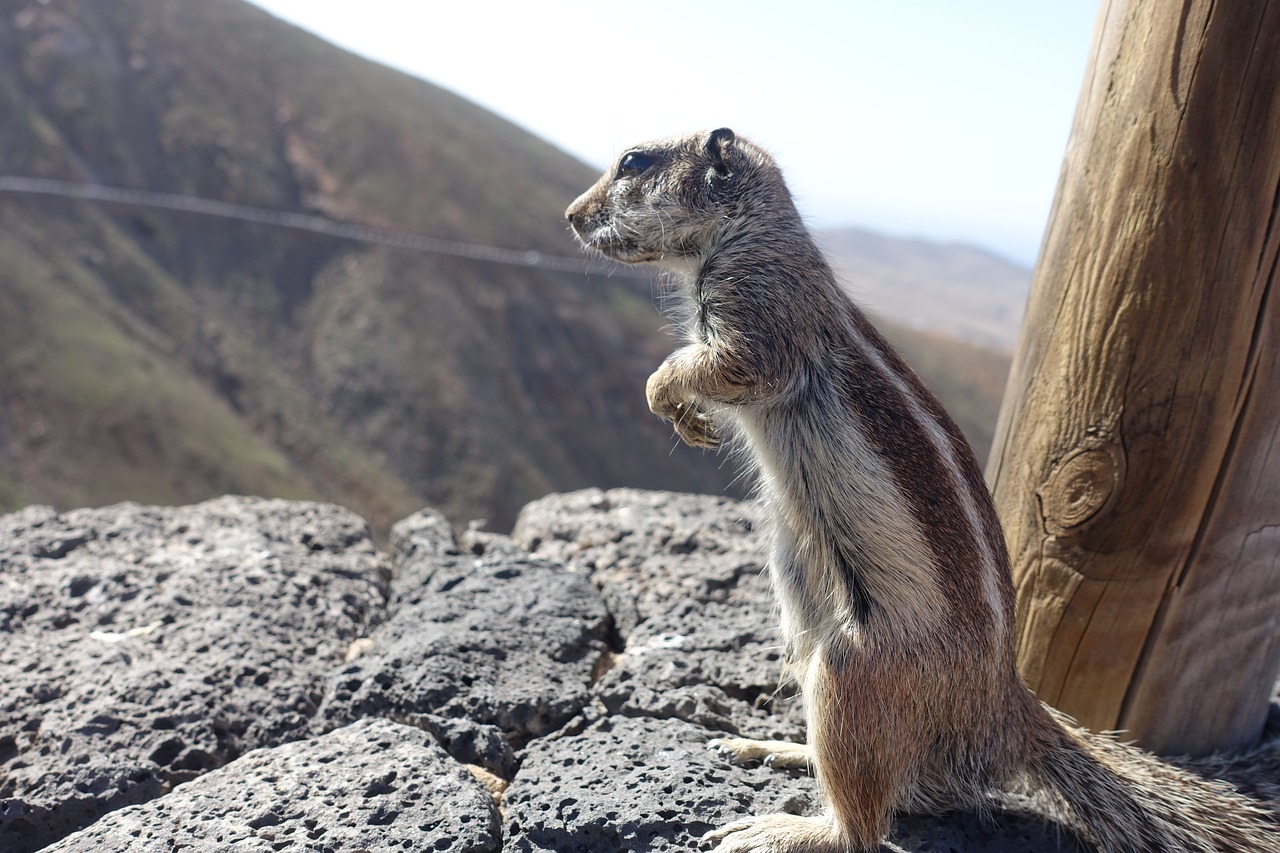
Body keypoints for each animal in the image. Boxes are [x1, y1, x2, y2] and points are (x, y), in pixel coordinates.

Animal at [565, 128, 1280, 850]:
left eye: (634, 163)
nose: (570, 216)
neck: (753, 232)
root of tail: (1002, 712)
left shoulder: (760, 316)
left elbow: (720, 365)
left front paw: (664, 393)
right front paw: (686, 417)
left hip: (853, 670)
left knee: (863, 824)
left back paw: (783, 825)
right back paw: (780, 746)